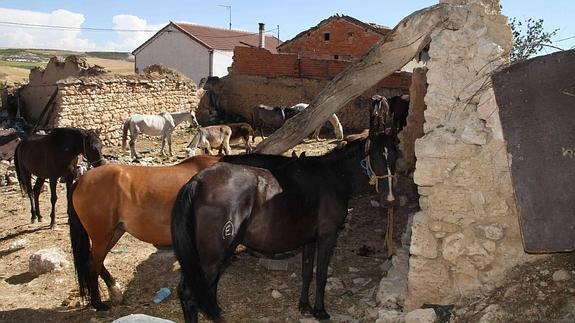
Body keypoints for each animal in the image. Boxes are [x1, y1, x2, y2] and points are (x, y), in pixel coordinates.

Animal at [67, 156, 220, 312]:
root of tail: (80, 180)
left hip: (113, 234)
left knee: (93, 262)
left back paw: (114, 292)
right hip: (101, 238)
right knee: (93, 266)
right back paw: (98, 304)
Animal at [169, 132, 398, 322]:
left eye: (396, 156)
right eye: (375, 157)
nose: (389, 199)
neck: (331, 177)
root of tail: (197, 182)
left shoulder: (310, 240)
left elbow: (307, 271)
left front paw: (304, 306)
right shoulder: (327, 236)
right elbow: (321, 274)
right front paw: (320, 311)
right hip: (213, 257)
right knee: (189, 294)